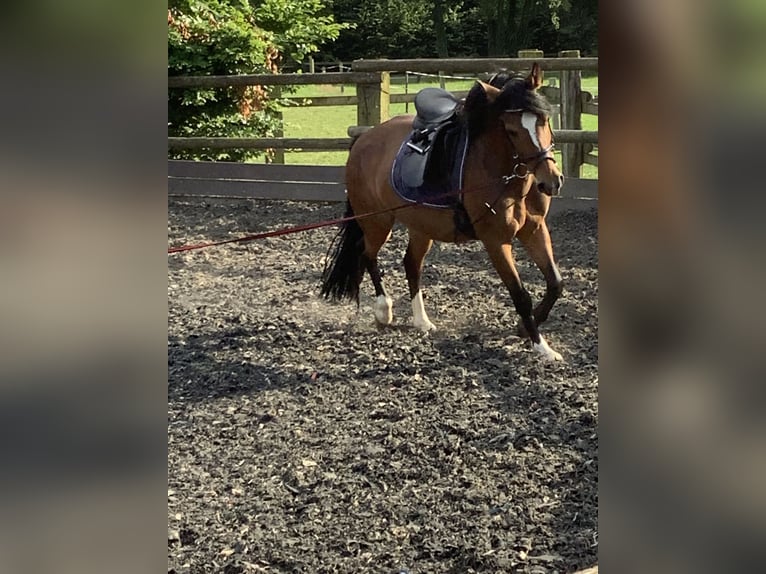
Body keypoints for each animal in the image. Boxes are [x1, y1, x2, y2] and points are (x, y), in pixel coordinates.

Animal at [320, 65, 568, 362]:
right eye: (511, 130)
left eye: (544, 120)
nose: (551, 181)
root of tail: (363, 139)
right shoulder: (496, 241)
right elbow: (520, 294)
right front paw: (542, 346)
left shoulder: (534, 229)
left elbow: (555, 283)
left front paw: (523, 329)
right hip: (377, 220)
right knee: (366, 254)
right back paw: (384, 310)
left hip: (421, 226)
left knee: (411, 264)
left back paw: (421, 321)